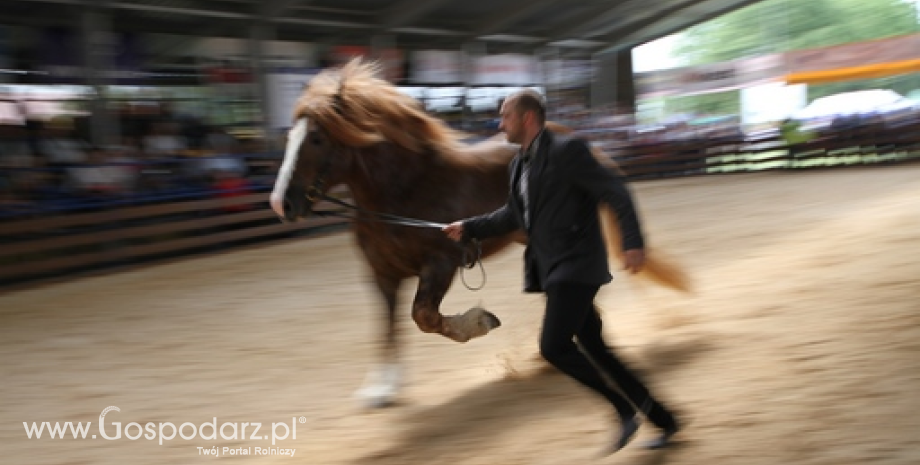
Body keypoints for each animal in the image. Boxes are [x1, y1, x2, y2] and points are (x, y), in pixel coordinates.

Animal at [268, 59, 688, 406]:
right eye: (289, 136)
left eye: (317, 137)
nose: (280, 204)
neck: (403, 192)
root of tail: (577, 136)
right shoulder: (381, 274)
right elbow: (387, 326)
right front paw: (381, 389)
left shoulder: (441, 263)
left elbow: (423, 316)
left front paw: (480, 322)